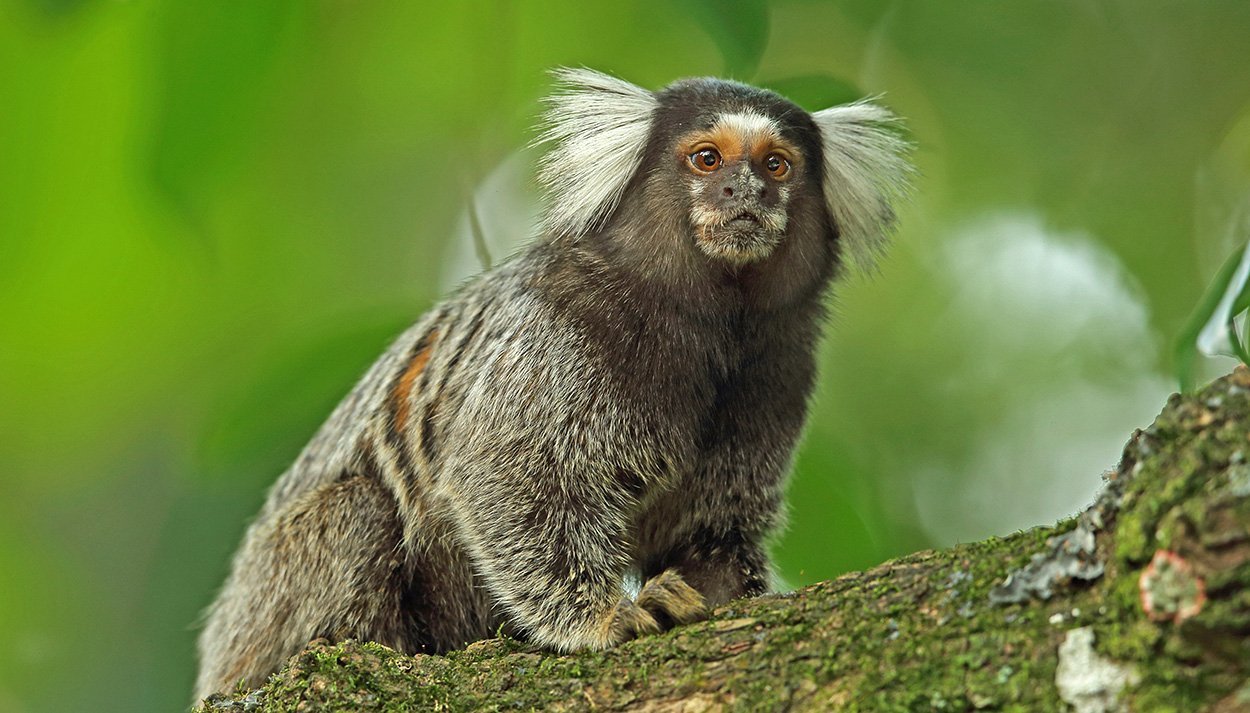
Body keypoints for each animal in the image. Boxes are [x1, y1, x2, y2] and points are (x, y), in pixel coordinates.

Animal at [194, 67, 911, 702]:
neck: (708, 326)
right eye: (707, 159)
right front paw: (603, 618)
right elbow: (509, 478)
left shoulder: (779, 369)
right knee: (356, 510)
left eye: (776, 166)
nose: (746, 193)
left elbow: (713, 528)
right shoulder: (558, 330)